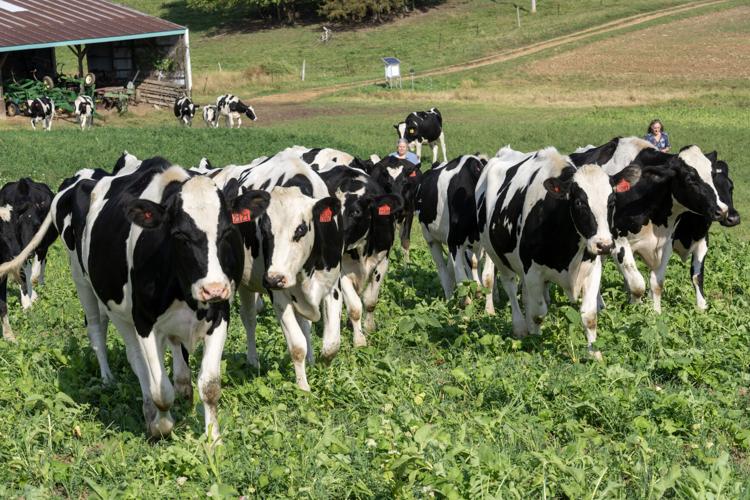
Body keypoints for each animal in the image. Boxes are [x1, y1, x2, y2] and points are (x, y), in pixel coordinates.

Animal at [0, 178, 57, 341]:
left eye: (37, 225)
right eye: (16, 224)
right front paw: (27, 303)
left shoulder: (40, 247)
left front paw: (32, 298)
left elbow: (34, 275)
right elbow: (24, 275)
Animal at [211, 150, 344, 391]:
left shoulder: (332, 286)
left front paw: (325, 377)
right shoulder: (279, 295)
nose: (274, 279)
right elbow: (297, 346)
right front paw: (304, 389)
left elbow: (331, 345)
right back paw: (252, 361)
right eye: (264, 231)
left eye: (300, 229)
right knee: (249, 318)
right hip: (242, 282)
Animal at [416, 155, 494, 313]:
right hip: (430, 239)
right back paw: (449, 302)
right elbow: (463, 282)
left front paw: (489, 312)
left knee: (452, 270)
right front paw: (465, 313)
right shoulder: (454, 242)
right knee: (443, 272)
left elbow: (488, 278)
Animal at [476, 147, 641, 359]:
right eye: (579, 202)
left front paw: (595, 354)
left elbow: (589, 315)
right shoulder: (533, 271)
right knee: (510, 287)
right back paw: (520, 327)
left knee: (525, 295)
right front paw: (536, 342)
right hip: (497, 255)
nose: (604, 245)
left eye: (611, 201)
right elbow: (538, 313)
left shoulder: (592, 270)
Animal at [569, 137, 732, 312]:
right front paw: (635, 310)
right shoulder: (618, 241)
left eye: (712, 175)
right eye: (690, 179)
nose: (722, 210)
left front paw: (656, 313)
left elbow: (657, 283)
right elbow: (637, 284)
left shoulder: (666, 242)